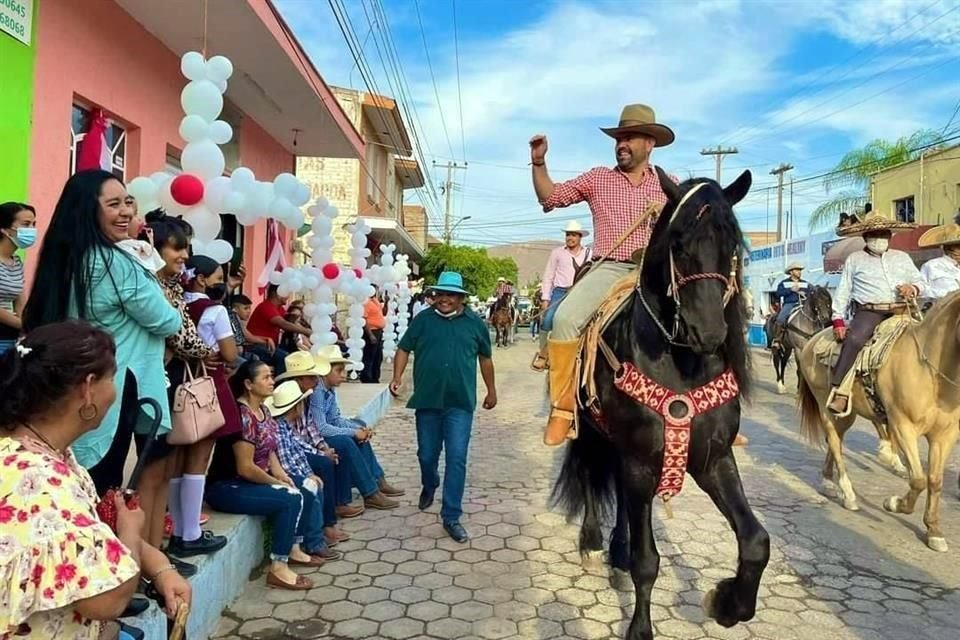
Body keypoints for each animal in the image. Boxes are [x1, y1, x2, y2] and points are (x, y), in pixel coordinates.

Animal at [552, 169, 768, 640]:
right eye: (677, 243)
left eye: (732, 245)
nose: (708, 332)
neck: (681, 362)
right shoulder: (640, 460)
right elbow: (647, 561)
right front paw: (639, 629)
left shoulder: (713, 459)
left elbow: (756, 541)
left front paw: (728, 604)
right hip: (591, 431)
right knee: (590, 473)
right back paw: (593, 543)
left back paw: (615, 549)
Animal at [796, 292, 960, 552]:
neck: (930, 372)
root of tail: (813, 340)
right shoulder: (903, 426)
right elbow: (918, 479)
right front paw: (893, 504)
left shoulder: (945, 436)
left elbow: (935, 481)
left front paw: (934, 531)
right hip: (826, 407)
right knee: (835, 442)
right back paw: (848, 495)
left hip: (847, 414)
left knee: (836, 441)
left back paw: (828, 481)